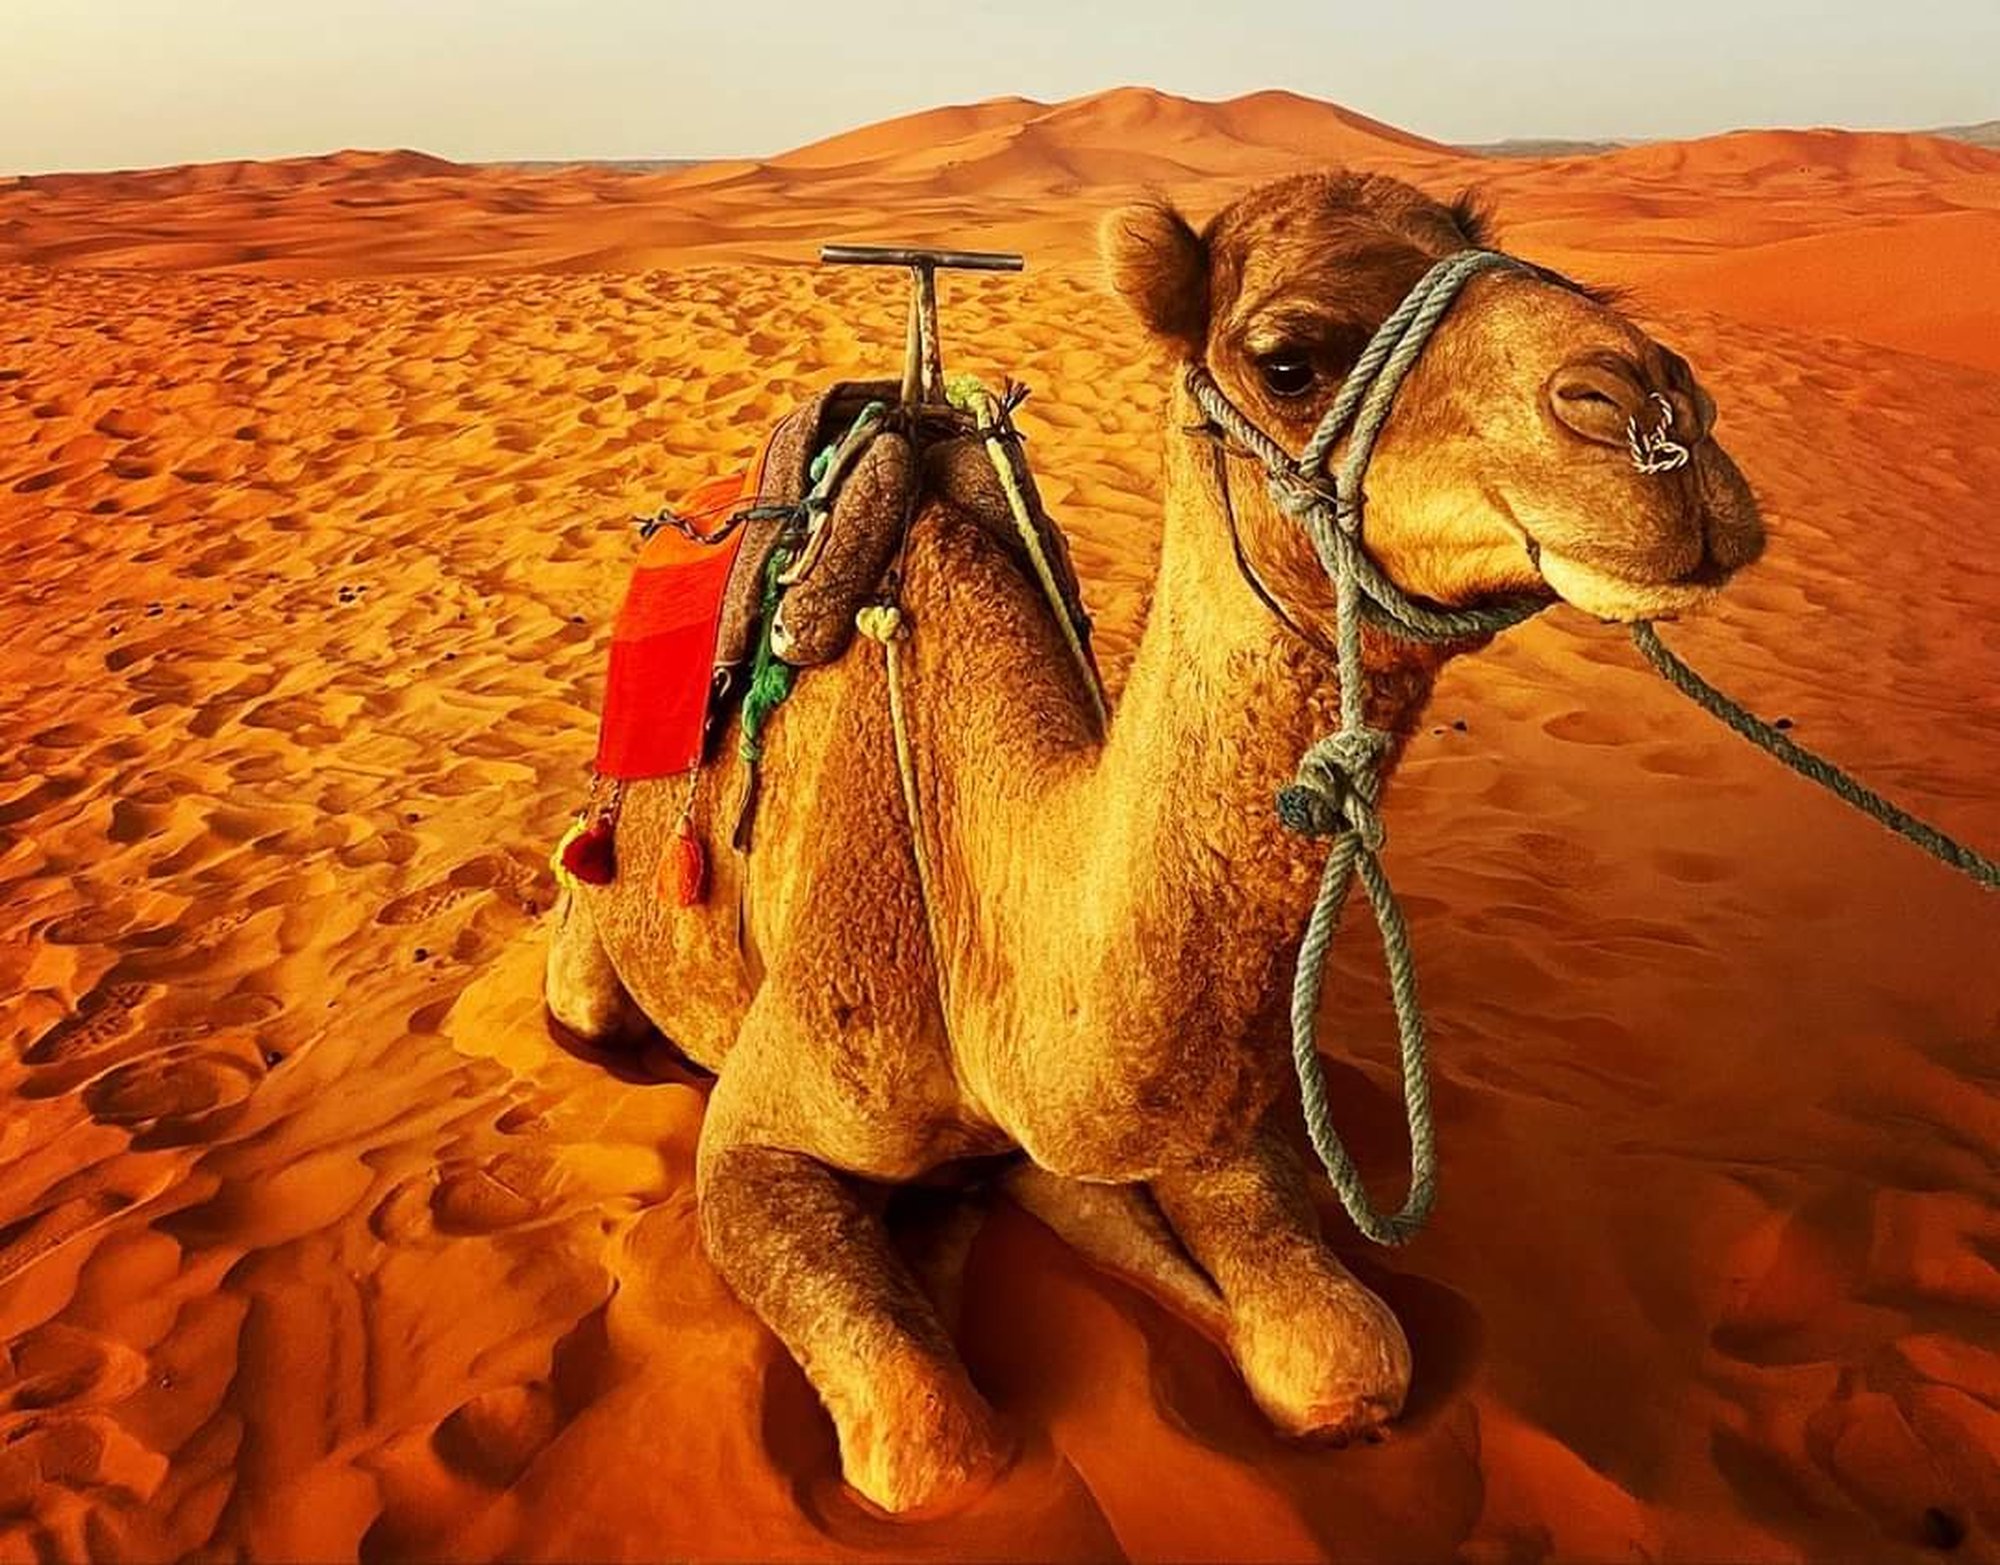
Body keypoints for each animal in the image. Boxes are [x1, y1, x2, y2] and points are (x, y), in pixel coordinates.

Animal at [545, 170, 1765, 1515]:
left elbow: (1343, 1351)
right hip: (591, 929)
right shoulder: (758, 1136)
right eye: (1287, 361)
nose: (1659, 421)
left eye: (1557, 274)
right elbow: (928, 1440)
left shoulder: (1212, 1120)